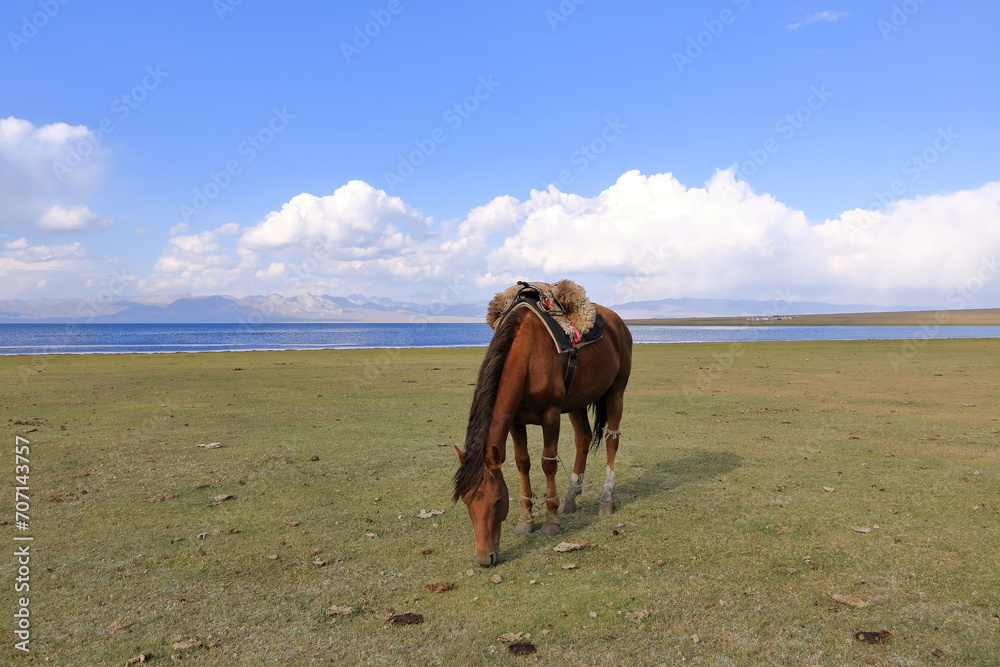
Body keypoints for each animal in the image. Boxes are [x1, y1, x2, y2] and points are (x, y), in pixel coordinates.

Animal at [452, 287, 633, 567]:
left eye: (498, 500)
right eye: (466, 500)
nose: (484, 558)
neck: (526, 357)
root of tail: (619, 323)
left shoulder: (551, 415)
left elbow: (548, 464)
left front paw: (551, 522)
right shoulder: (516, 421)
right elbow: (522, 462)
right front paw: (526, 520)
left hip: (616, 391)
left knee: (612, 440)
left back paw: (605, 500)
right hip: (577, 401)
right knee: (583, 439)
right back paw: (570, 498)